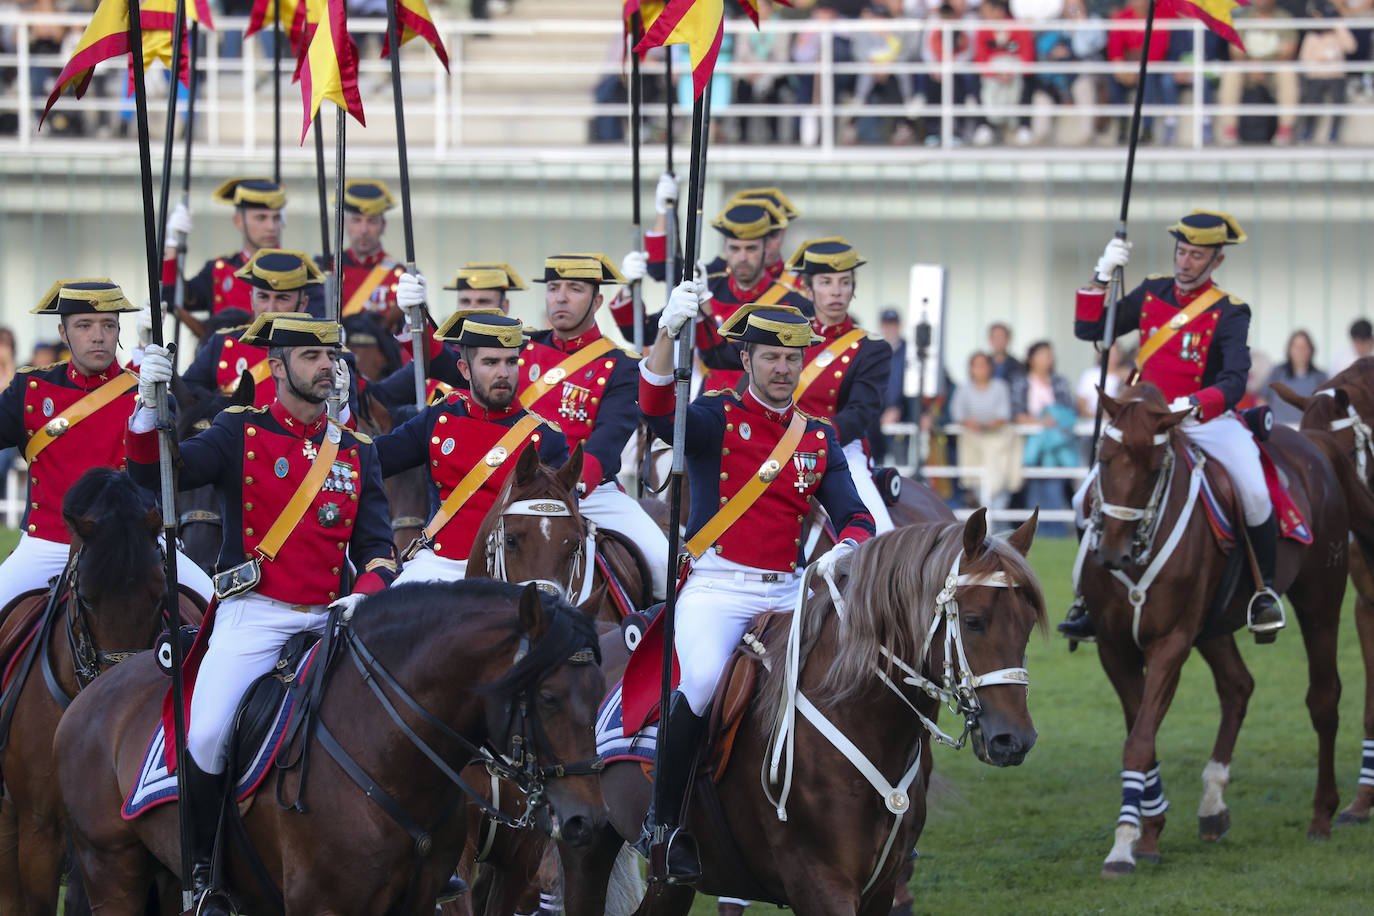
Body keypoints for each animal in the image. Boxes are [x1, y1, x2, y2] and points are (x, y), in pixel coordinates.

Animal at [57, 585, 607, 911]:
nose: (589, 823)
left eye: (602, 690)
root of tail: (93, 694)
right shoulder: (322, 905)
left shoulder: (421, 897)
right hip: (111, 869)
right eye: (549, 698)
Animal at [574, 513, 1044, 911]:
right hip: (587, 844)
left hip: (670, 883)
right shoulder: (820, 883)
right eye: (974, 621)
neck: (856, 715)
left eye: (1026, 626)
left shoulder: (880, 886)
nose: (1014, 740)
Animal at [1082, 384, 1363, 878]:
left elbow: (1139, 743)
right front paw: (1150, 830)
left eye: (1153, 470)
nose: (1113, 553)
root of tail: (1313, 441)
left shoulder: (1170, 643)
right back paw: (1213, 805)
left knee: (1324, 700)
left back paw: (1322, 815)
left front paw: (1124, 846)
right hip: (1213, 626)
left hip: (1320, 601)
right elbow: (1143, 736)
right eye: (1104, 456)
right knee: (1238, 686)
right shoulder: (1115, 649)